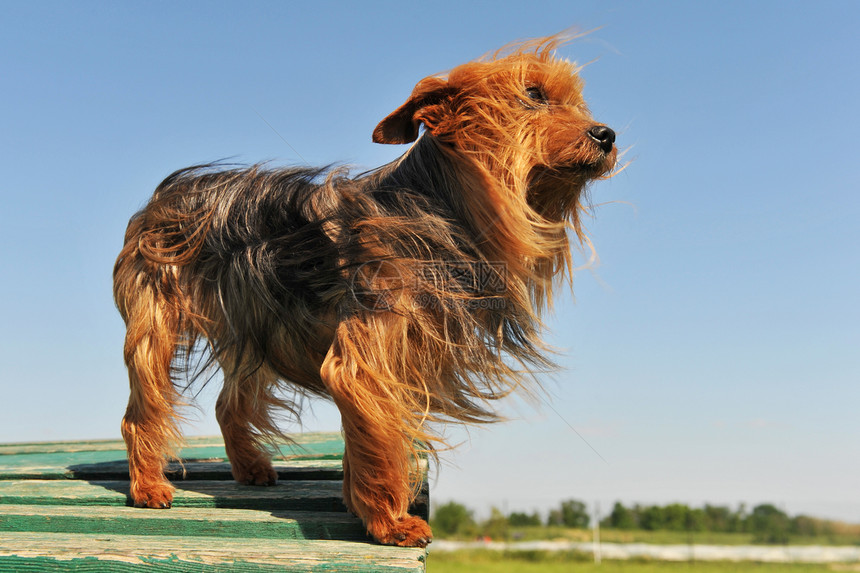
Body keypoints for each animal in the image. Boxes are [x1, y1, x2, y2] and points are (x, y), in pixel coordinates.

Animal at [114, 35, 616, 544]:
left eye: (578, 104)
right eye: (533, 95)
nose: (607, 135)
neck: (440, 206)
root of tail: (169, 191)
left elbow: (368, 435)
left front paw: (361, 505)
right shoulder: (363, 359)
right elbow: (379, 436)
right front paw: (389, 522)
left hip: (260, 326)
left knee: (227, 404)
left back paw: (250, 467)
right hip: (157, 321)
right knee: (141, 408)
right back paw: (148, 485)